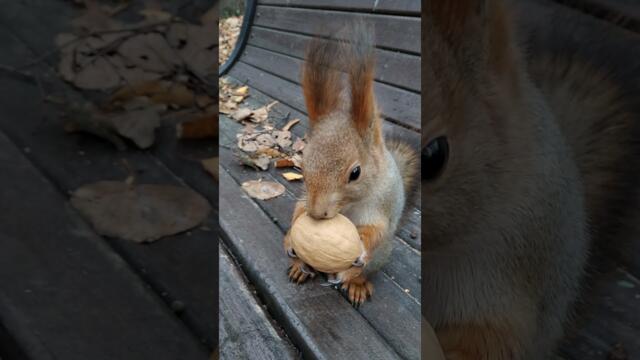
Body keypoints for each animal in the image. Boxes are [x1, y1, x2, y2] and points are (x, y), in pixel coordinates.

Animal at [284, 22, 420, 306]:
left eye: (355, 173)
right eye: (303, 166)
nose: (317, 213)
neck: (349, 206)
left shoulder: (380, 207)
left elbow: (375, 231)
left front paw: (359, 254)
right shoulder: (305, 198)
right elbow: (298, 209)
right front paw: (291, 239)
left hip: (381, 256)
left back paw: (355, 281)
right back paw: (301, 267)